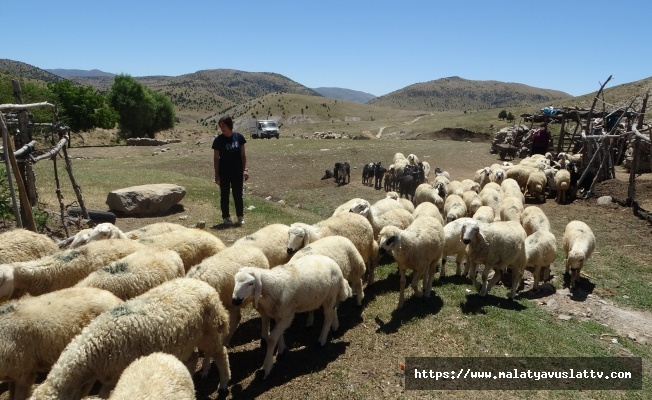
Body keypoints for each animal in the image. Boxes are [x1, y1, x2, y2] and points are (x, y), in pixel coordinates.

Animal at [32, 276, 234, 398]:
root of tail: (202, 284)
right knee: (193, 357)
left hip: (210, 331)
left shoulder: (116, 374)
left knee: (221, 353)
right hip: (189, 339)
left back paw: (224, 383)